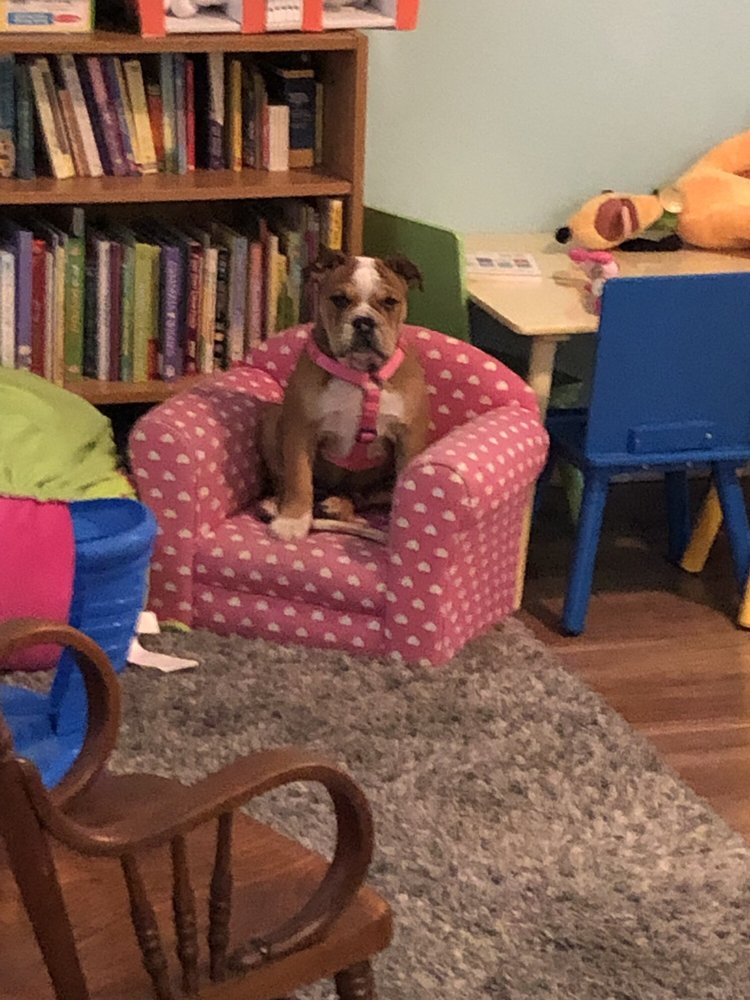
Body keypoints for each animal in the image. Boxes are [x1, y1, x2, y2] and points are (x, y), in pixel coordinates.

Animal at [257, 250, 430, 542]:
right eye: (339, 299)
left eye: (390, 302)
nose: (364, 321)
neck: (360, 375)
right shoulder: (300, 430)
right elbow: (298, 478)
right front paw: (292, 520)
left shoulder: (410, 437)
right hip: (271, 420)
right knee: (287, 480)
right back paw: (276, 504)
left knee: (363, 496)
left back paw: (338, 505)